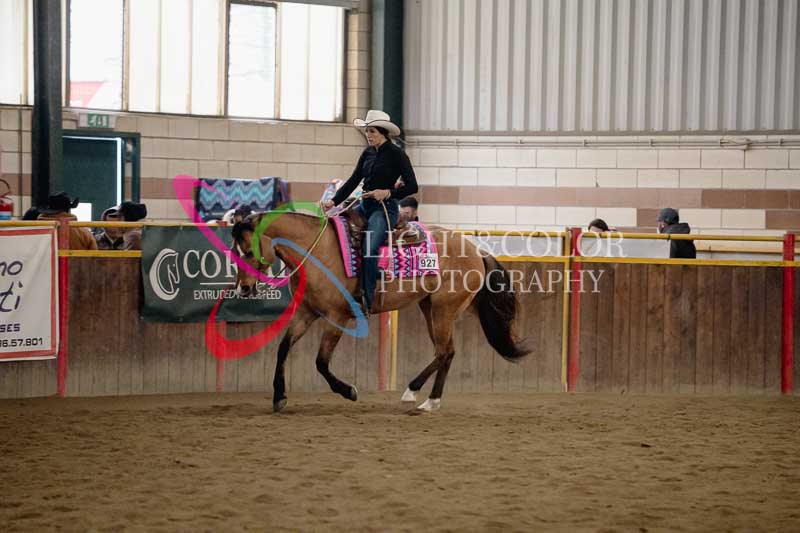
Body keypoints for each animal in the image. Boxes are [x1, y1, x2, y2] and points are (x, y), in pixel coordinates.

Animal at [230, 209, 533, 413]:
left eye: (248, 250)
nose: (243, 289)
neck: (318, 252)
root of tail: (476, 251)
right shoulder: (306, 312)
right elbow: (283, 348)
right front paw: (278, 397)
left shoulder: (337, 317)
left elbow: (321, 361)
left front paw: (348, 391)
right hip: (429, 307)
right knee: (445, 352)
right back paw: (423, 396)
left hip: (443, 310)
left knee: (445, 352)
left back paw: (422, 397)